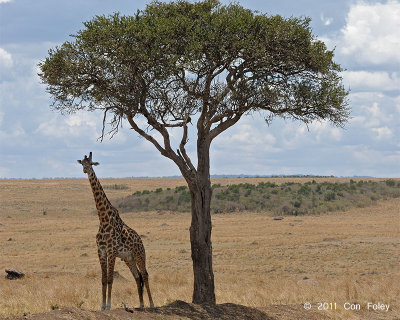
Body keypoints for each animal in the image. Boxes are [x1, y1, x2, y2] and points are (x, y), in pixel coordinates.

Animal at [77, 152, 154, 310]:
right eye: (82, 164)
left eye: (92, 163)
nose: (86, 170)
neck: (103, 219)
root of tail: (140, 240)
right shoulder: (101, 250)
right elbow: (103, 279)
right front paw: (102, 306)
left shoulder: (111, 250)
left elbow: (110, 279)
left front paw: (108, 305)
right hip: (129, 258)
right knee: (138, 277)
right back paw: (141, 304)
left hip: (139, 254)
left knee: (145, 274)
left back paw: (151, 303)